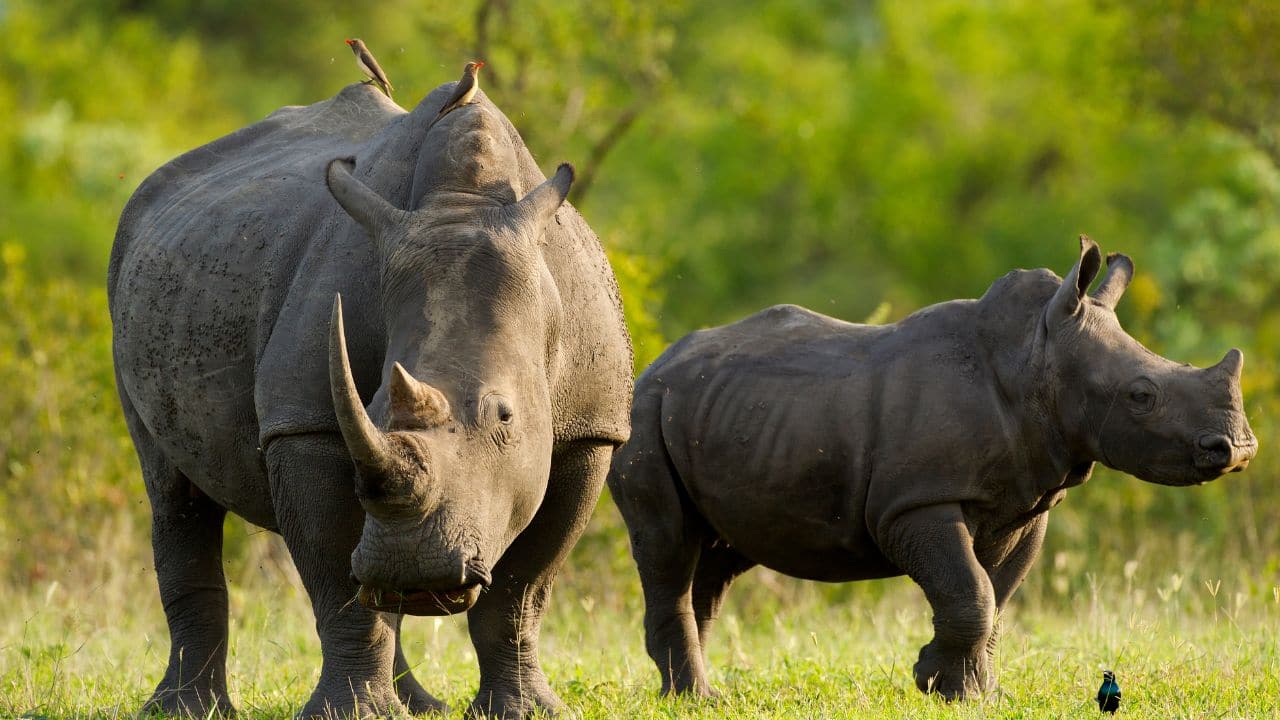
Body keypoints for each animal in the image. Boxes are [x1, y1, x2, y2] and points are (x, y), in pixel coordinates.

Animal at [109, 82, 631, 718]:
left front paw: (526, 711)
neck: (462, 204)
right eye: (374, 406)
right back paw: (187, 709)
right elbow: (339, 579)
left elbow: (523, 589)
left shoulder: (590, 429)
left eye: (504, 415)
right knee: (173, 493)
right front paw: (351, 713)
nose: (418, 568)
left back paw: (420, 701)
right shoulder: (305, 423)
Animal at [607, 236, 1256, 699]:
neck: (1036, 358)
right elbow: (970, 591)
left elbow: (994, 596)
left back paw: (692, 694)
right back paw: (695, 698)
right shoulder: (917, 500)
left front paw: (965, 689)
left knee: (714, 559)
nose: (1238, 449)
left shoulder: (1024, 501)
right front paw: (944, 687)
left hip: (722, 412)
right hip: (643, 417)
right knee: (668, 545)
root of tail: (653, 365)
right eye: (1141, 396)